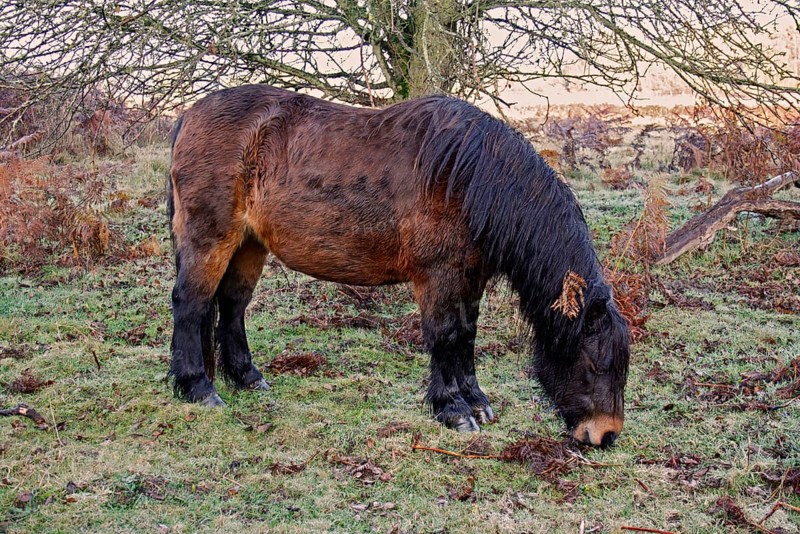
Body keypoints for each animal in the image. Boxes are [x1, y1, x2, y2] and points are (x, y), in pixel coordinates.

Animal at [167, 84, 630, 447]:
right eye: (595, 364)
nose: (605, 434)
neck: (469, 179)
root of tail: (188, 115)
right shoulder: (438, 277)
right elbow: (445, 336)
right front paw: (452, 409)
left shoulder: (469, 277)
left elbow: (466, 336)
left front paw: (476, 401)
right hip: (211, 240)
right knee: (191, 304)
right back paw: (199, 388)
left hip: (249, 245)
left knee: (232, 306)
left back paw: (247, 377)